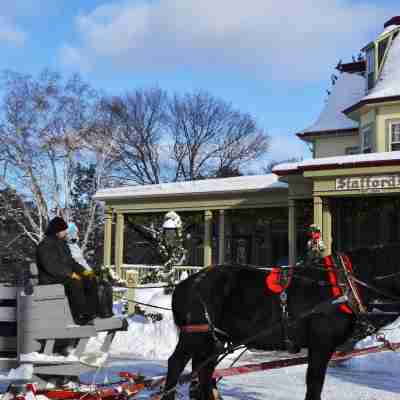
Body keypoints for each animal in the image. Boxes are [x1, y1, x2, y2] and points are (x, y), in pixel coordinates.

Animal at [162, 245, 400, 398]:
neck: (346, 285)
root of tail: (184, 284)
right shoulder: (321, 344)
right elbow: (314, 384)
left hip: (213, 340)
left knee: (203, 373)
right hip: (195, 334)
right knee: (175, 366)